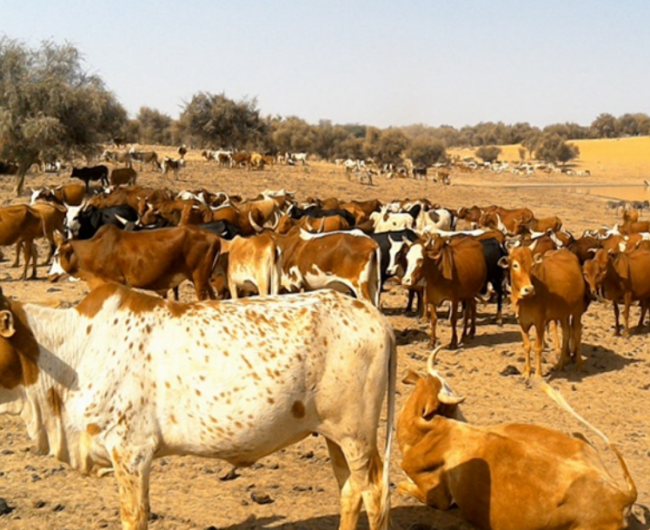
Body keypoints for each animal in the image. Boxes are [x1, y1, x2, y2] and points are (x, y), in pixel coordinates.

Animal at [0, 282, 395, 530]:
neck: (72, 351)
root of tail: (373, 315)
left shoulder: (131, 453)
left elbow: (134, 516)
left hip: (357, 435)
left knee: (374, 492)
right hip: (334, 435)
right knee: (350, 491)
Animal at [49, 225, 221, 300]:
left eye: (56, 254)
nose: (50, 275)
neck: (96, 249)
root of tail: (215, 237)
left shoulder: (115, 281)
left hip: (199, 279)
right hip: (204, 279)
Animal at [499, 247, 588, 378]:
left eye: (532, 265)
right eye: (515, 265)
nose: (529, 289)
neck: (525, 300)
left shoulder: (540, 322)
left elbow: (537, 347)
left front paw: (538, 374)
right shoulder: (521, 322)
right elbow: (527, 346)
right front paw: (526, 372)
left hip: (577, 311)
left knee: (577, 332)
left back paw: (579, 366)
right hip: (563, 314)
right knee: (566, 333)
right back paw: (560, 365)